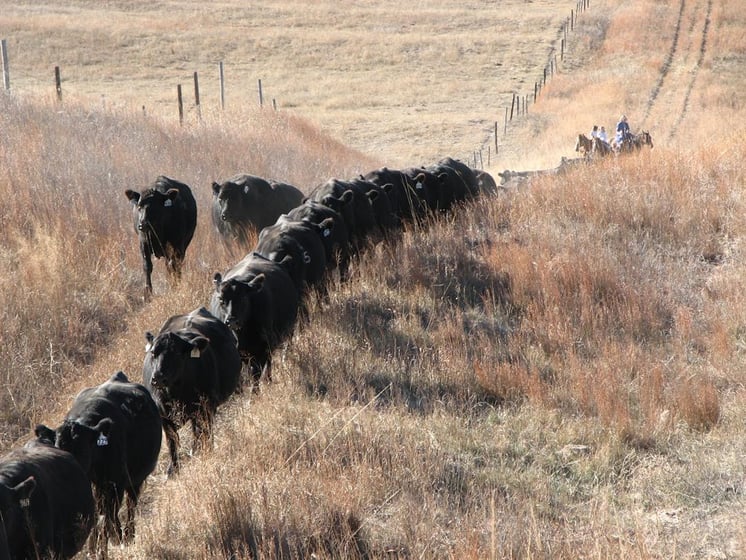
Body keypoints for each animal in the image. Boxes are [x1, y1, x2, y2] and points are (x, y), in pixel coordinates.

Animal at [37, 371, 162, 559]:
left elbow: (107, 515)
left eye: (82, 449)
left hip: (134, 479)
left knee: (130, 505)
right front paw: (93, 549)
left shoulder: (114, 483)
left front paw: (108, 544)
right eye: (57, 448)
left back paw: (127, 535)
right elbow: (98, 516)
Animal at [142, 307, 242, 476]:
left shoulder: (205, 407)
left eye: (176, 353)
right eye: (153, 353)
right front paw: (173, 469)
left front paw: (205, 451)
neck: (175, 393)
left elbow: (204, 432)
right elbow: (172, 441)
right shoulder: (164, 417)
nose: (158, 377)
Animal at [211, 253, 300, 389]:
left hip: (288, 333)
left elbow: (256, 377)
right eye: (221, 299)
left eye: (243, 298)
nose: (231, 321)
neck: (239, 335)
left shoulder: (261, 350)